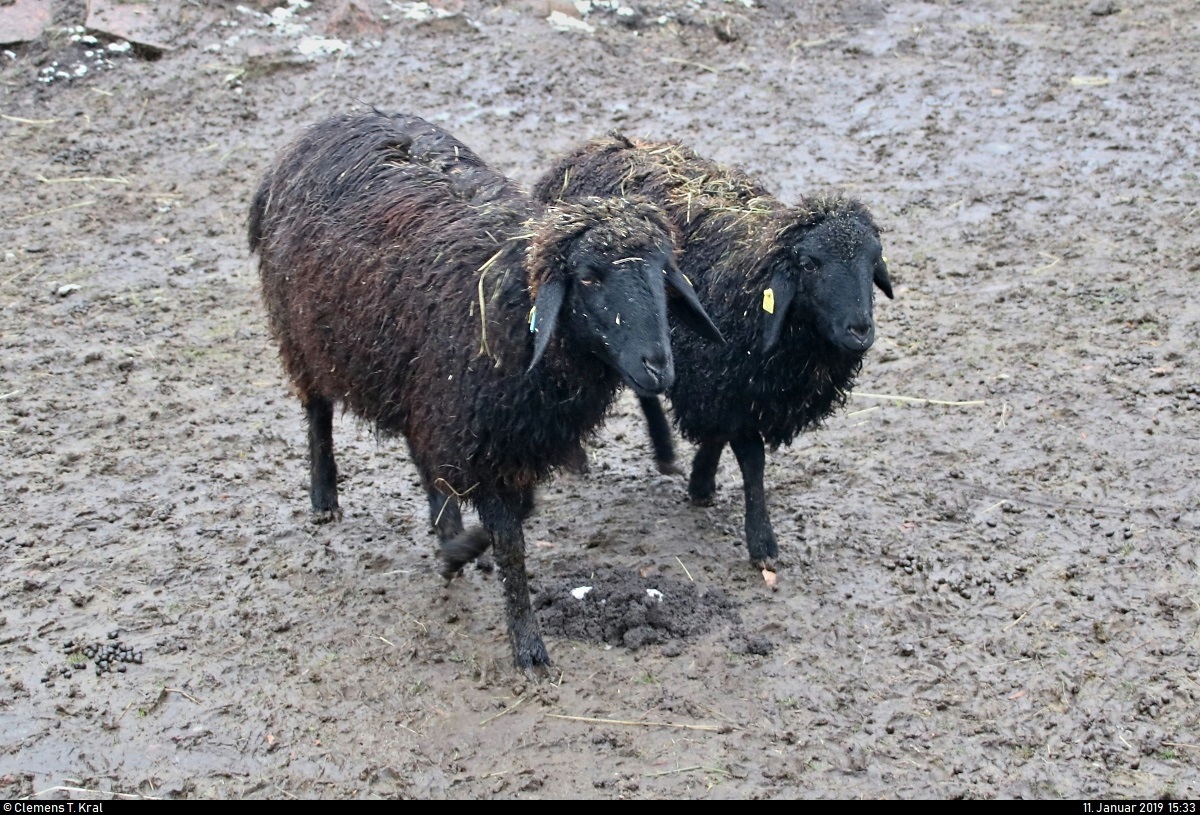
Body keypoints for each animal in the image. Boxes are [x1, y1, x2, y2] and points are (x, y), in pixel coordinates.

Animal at [250, 113, 720, 667]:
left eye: (662, 272)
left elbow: (519, 511)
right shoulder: (478, 428)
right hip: (303, 334)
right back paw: (325, 496)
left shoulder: (501, 428)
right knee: (318, 410)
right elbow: (510, 536)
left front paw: (458, 549)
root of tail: (324, 125)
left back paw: (444, 523)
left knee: (420, 451)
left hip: (418, 380)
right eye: (588, 277)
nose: (658, 367)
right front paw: (527, 645)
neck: (519, 307)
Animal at [535, 132, 892, 566]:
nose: (859, 331)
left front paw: (701, 482)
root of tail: (591, 147)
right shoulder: (729, 384)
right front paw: (762, 542)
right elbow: (752, 460)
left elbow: (717, 436)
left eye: (873, 261)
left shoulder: (725, 383)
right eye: (809, 264)